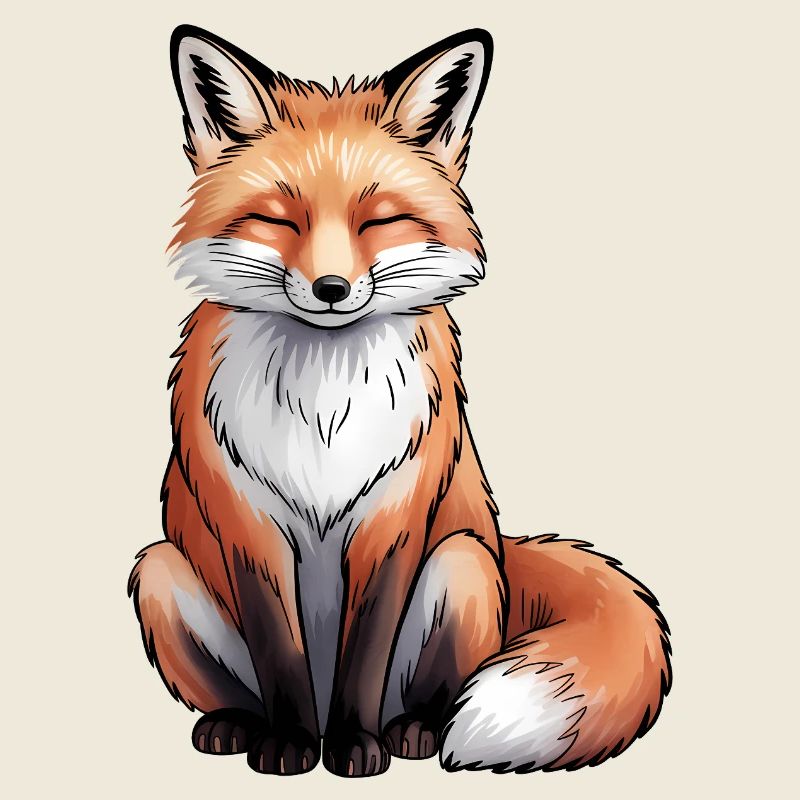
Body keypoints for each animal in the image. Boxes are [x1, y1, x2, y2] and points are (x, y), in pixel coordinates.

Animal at [128, 25, 672, 778]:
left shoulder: (393, 518)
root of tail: (504, 547)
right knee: (237, 687)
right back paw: (238, 725)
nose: (330, 288)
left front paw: (354, 747)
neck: (324, 410)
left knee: (431, 696)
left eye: (379, 221)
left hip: (463, 564)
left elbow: (366, 650)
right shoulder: (248, 525)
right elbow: (279, 649)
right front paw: (291, 746)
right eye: (277, 219)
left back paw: (409, 733)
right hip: (158, 570)